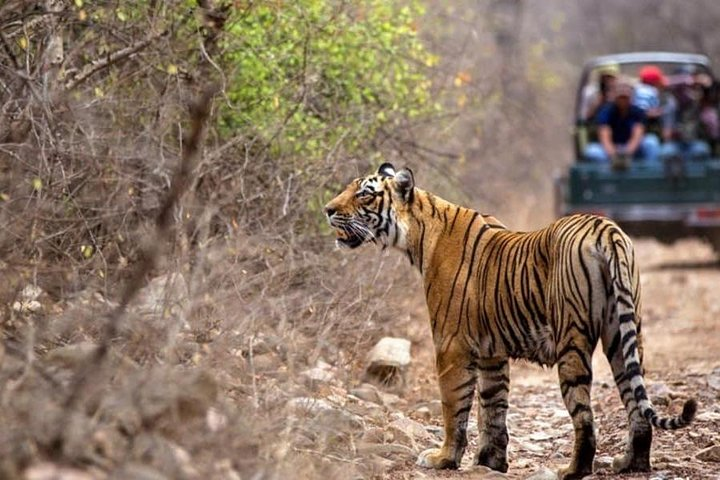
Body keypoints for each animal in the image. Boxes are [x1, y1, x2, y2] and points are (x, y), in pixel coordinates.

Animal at [326, 163, 696, 478]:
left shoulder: (450, 345)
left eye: (364, 194)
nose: (328, 209)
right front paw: (490, 462)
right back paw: (631, 464)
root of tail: (605, 229)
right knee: (636, 403)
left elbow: (454, 406)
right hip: (622, 335)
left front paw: (444, 458)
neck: (417, 235)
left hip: (572, 341)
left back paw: (572, 470)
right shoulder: (491, 352)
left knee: (585, 416)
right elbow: (493, 407)